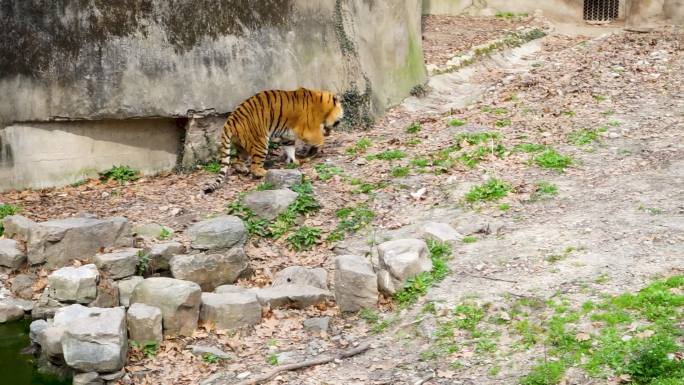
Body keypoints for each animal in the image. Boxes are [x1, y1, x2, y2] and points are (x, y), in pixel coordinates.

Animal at [202, 88, 342, 194]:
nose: (331, 132)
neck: (324, 106)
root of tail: (230, 120)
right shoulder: (308, 130)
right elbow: (319, 140)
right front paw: (314, 151)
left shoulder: (288, 135)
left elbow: (290, 148)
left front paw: (295, 161)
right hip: (261, 143)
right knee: (255, 167)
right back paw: (266, 172)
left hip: (242, 146)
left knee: (236, 161)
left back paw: (243, 170)